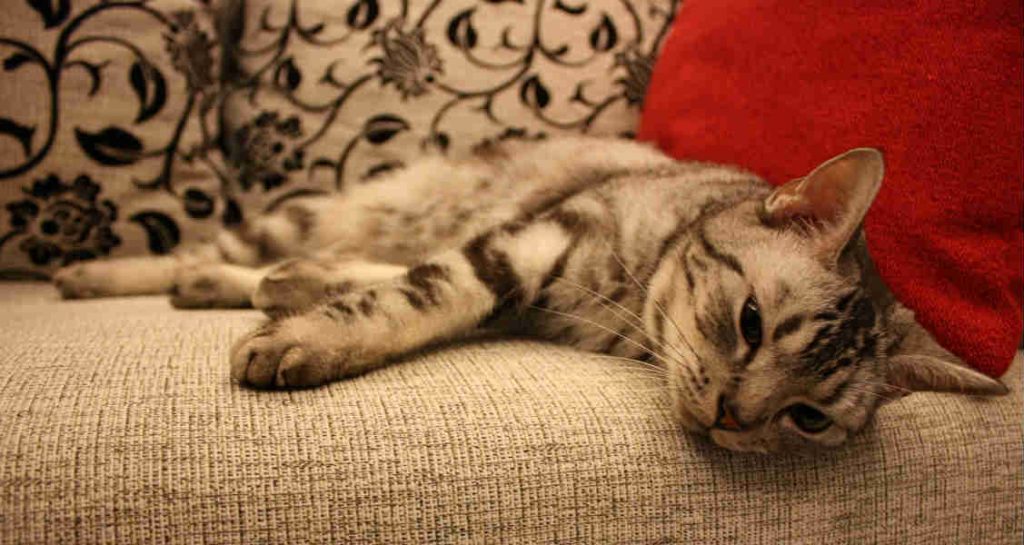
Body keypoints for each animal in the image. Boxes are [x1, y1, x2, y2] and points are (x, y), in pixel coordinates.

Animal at [51, 136, 1003, 450]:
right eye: (751, 322)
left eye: (807, 417)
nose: (735, 418)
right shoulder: (523, 242)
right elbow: (418, 294)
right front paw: (307, 338)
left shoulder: (518, 263)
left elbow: (386, 283)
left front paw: (298, 310)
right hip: (340, 207)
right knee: (233, 243)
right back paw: (105, 272)